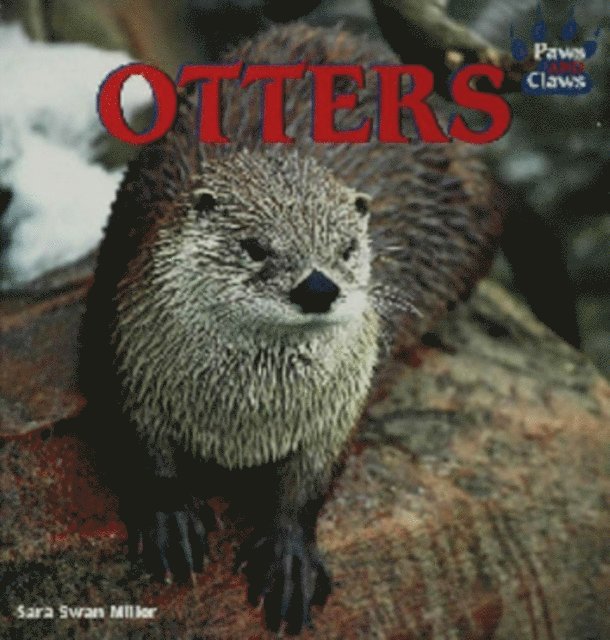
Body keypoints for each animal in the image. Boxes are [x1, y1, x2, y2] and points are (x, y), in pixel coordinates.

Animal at [82, 23, 501, 635]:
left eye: (347, 247)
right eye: (256, 246)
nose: (318, 286)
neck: (242, 421)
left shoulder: (340, 404)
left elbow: (311, 483)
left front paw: (290, 556)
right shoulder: (127, 349)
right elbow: (136, 441)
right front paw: (171, 517)